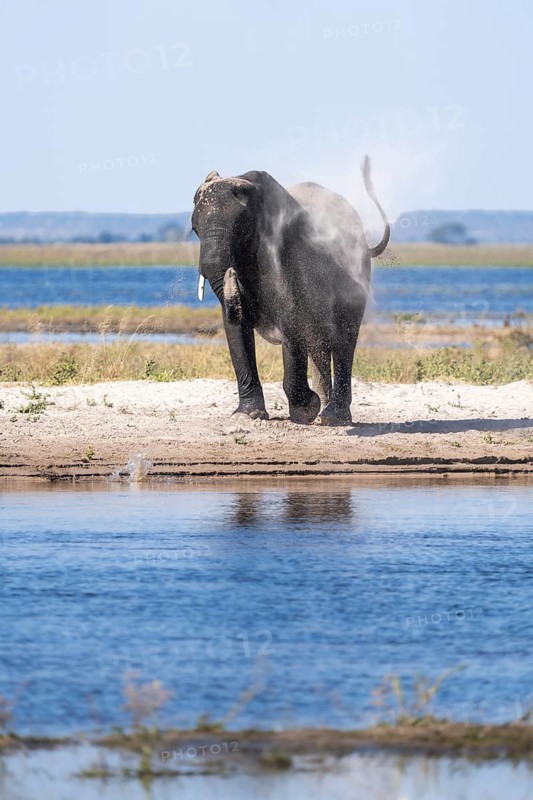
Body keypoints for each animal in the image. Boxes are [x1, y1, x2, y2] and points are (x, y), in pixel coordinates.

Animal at [191, 157, 389, 426]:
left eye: (242, 229)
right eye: (194, 230)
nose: (231, 272)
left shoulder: (292, 261)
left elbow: (293, 324)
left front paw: (304, 411)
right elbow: (235, 328)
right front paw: (247, 415)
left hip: (356, 276)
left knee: (344, 339)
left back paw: (333, 417)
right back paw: (323, 411)